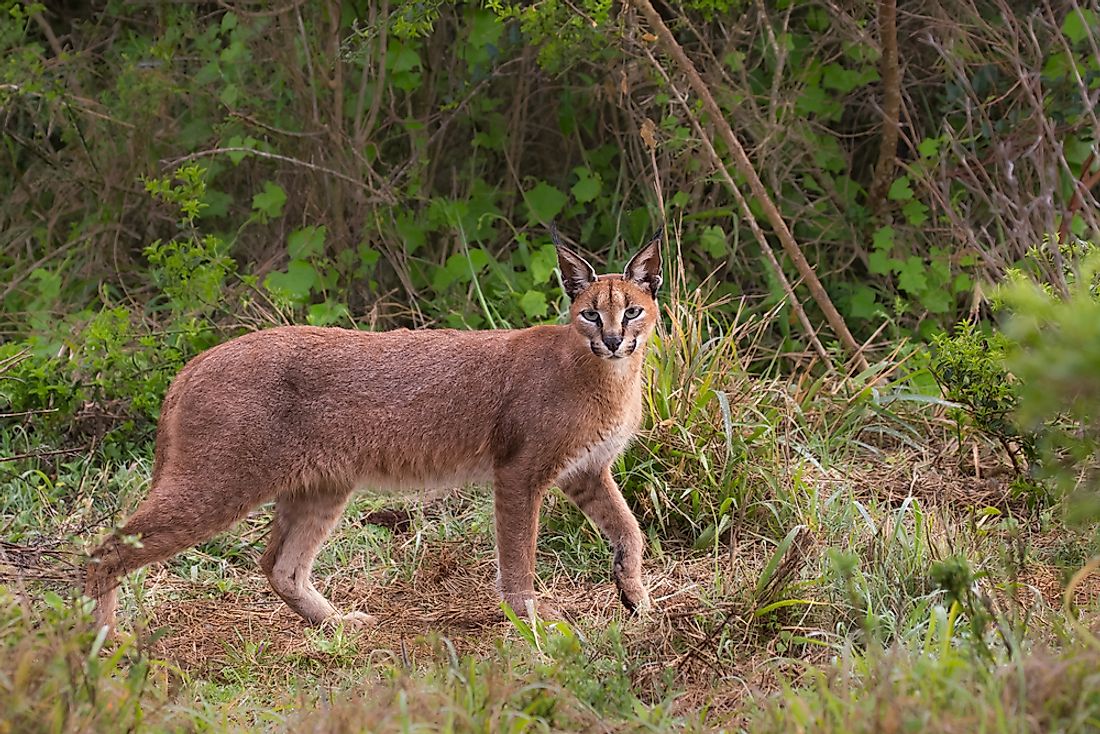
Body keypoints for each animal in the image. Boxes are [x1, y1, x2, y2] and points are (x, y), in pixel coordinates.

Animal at [85, 227, 660, 633]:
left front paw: (637, 598)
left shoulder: (586, 471)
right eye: (590, 315)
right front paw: (532, 623)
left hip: (322, 484)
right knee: (103, 547)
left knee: (278, 564)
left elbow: (629, 530)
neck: (608, 375)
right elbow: (518, 557)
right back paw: (103, 643)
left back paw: (336, 624)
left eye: (632, 311)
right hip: (216, 485)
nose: (613, 339)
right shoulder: (520, 472)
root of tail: (195, 361)